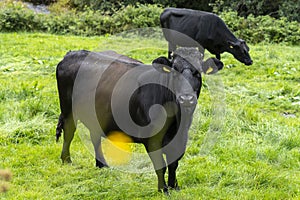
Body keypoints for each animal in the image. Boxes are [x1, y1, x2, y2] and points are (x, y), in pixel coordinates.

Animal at [55, 48, 218, 194]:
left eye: (198, 72)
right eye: (174, 71)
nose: (186, 98)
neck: (176, 122)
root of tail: (72, 53)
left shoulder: (181, 137)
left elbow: (173, 164)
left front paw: (174, 186)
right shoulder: (152, 139)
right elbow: (160, 165)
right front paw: (163, 189)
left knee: (95, 137)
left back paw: (102, 164)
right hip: (68, 110)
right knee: (69, 132)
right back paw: (66, 160)